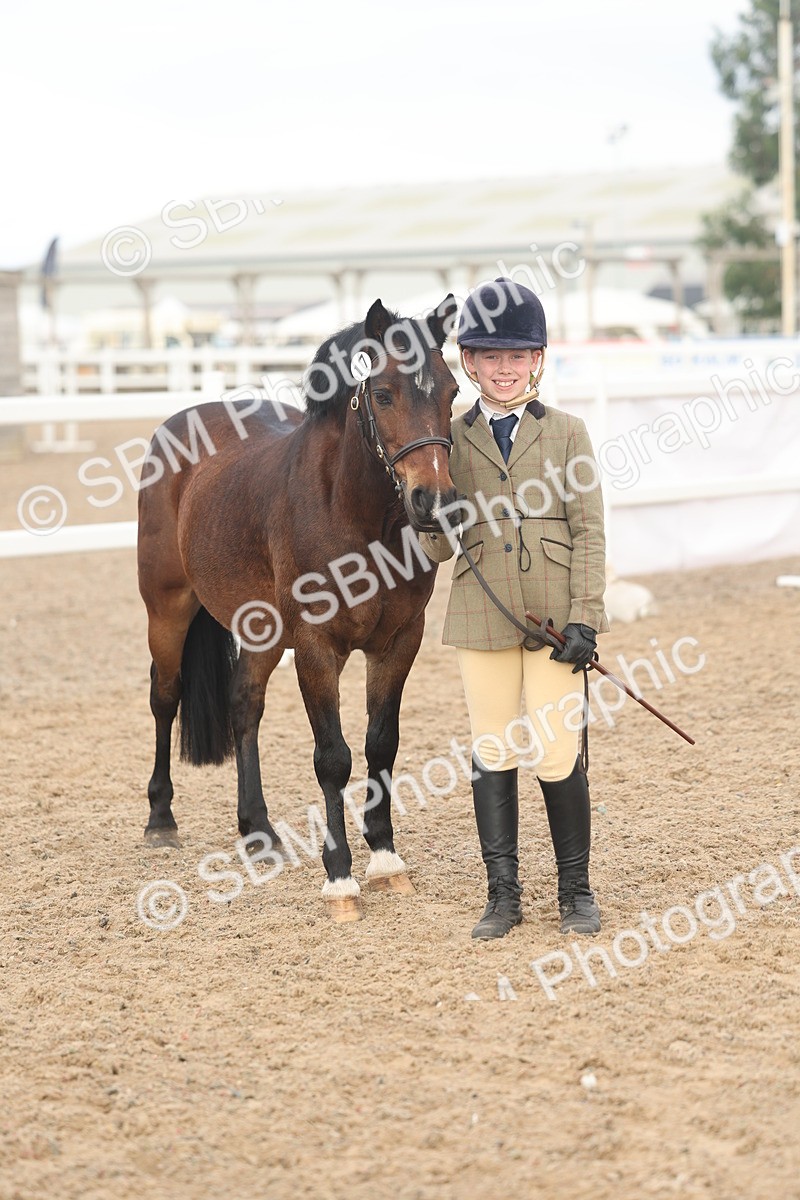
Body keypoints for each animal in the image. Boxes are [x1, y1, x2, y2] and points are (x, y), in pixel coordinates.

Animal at [137, 296, 459, 920]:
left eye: (453, 391)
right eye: (385, 394)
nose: (432, 502)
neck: (353, 513)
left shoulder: (399, 641)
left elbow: (381, 743)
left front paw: (386, 858)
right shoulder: (316, 646)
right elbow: (332, 757)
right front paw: (341, 879)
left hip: (262, 630)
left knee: (244, 705)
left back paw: (257, 830)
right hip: (166, 610)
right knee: (165, 698)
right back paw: (161, 818)